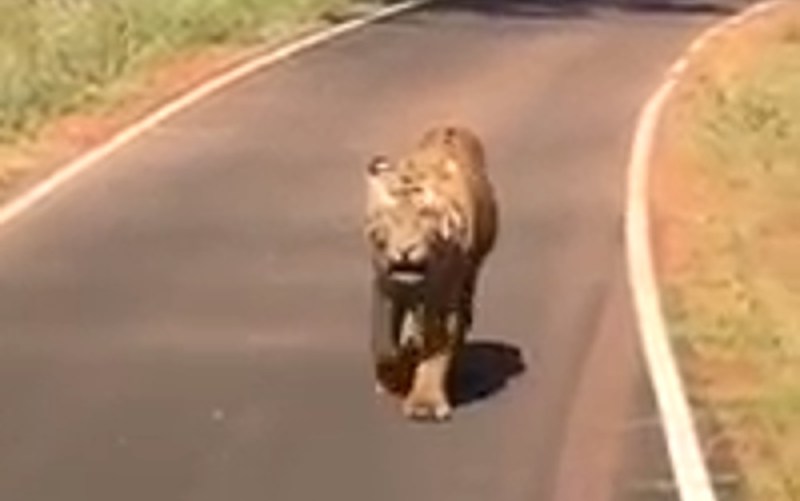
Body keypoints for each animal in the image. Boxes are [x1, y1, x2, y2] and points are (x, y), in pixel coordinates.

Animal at [363, 125, 498, 421]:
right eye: (388, 217)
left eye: (425, 215)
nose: (405, 249)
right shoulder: (384, 286)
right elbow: (383, 342)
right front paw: (394, 375)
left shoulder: (444, 298)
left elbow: (436, 349)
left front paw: (425, 403)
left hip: (469, 276)